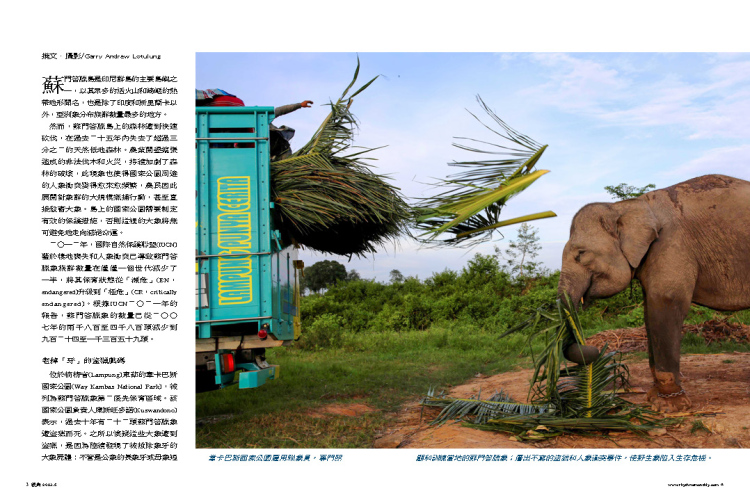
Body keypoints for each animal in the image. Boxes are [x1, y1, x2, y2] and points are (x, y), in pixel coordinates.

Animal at [558, 174, 750, 412]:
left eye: (581, 254)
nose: (594, 347)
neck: (626, 205)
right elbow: (649, 311)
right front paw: (652, 399)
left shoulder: (672, 243)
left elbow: (665, 301)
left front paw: (670, 406)